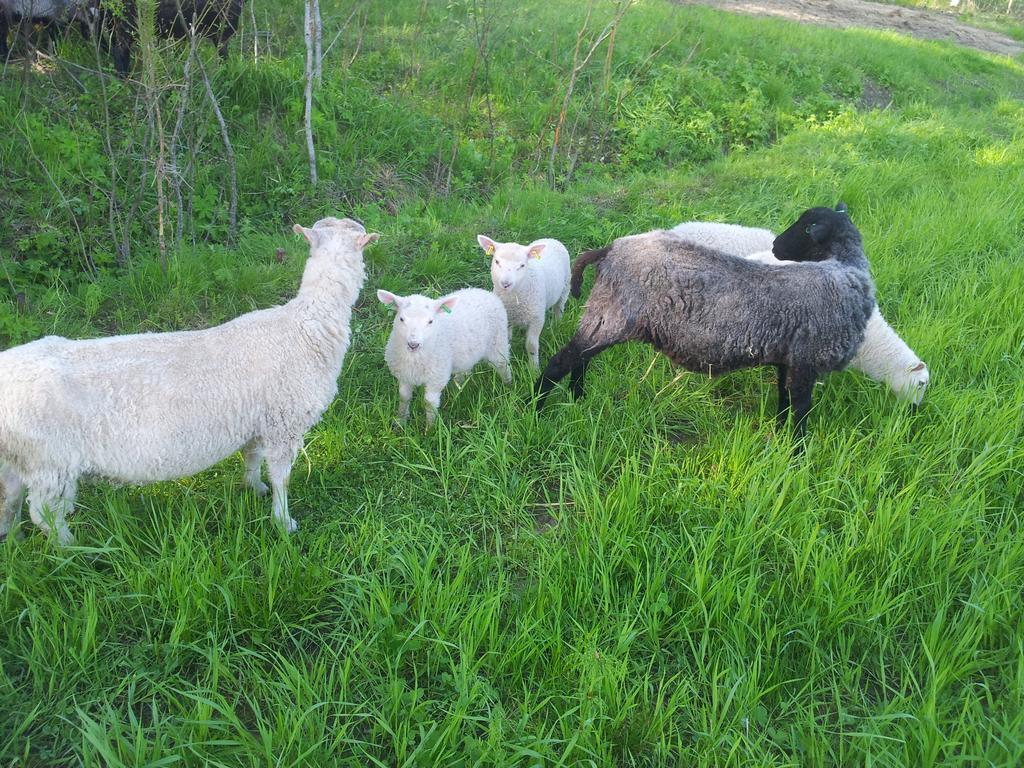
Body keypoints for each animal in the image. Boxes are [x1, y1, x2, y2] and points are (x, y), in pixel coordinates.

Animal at [0, 214, 376, 544]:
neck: (307, 325)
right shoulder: (285, 422)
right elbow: (281, 478)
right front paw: (284, 522)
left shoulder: (258, 421)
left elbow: (252, 459)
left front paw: (254, 488)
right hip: (50, 461)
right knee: (45, 515)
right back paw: (73, 549)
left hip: (17, 455)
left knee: (10, 497)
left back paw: (14, 539)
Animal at [376, 288, 512, 430]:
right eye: (401, 319)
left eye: (430, 321)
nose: (413, 344)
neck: (414, 359)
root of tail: (483, 292)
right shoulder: (404, 375)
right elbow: (404, 397)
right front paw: (400, 421)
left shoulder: (436, 379)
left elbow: (429, 403)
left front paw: (430, 429)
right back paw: (457, 389)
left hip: (498, 342)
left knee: (503, 365)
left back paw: (508, 386)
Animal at [475, 236, 573, 370]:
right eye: (497, 261)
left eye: (522, 265)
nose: (505, 283)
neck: (514, 300)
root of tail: (550, 238)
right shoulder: (507, 317)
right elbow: (507, 339)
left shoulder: (537, 319)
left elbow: (531, 345)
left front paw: (534, 368)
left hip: (566, 285)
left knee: (559, 307)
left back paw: (557, 324)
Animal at [532, 205, 876, 438]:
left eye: (807, 228)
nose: (776, 246)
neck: (846, 270)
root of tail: (611, 249)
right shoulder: (806, 362)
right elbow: (801, 412)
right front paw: (797, 454)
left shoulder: (790, 360)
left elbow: (784, 404)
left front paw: (781, 440)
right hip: (613, 314)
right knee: (561, 361)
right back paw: (536, 410)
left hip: (605, 316)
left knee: (582, 359)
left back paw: (578, 399)